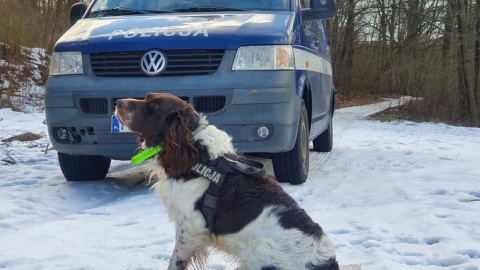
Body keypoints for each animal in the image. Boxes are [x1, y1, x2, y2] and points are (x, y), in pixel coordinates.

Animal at [114, 93, 340, 270]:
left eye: (154, 105)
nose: (118, 102)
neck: (198, 157)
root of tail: (327, 263)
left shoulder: (191, 228)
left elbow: (175, 262)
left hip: (258, 252)